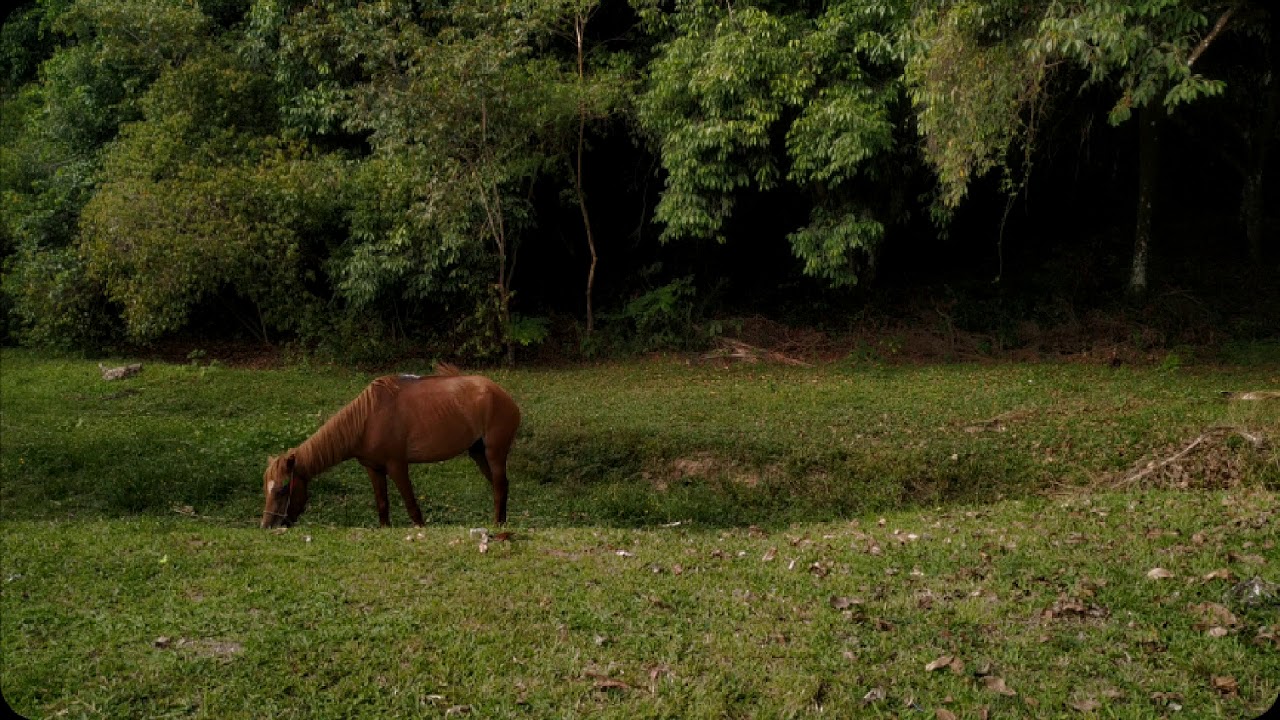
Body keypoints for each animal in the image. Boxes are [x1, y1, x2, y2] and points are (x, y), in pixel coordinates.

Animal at [260, 364, 521, 529]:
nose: (267, 526)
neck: (367, 420)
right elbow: (383, 505)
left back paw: (497, 525)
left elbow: (411, 505)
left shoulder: (397, 466)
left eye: (282, 489)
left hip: (494, 453)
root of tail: (501, 394)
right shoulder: (373, 469)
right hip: (478, 454)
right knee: (500, 486)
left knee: (499, 486)